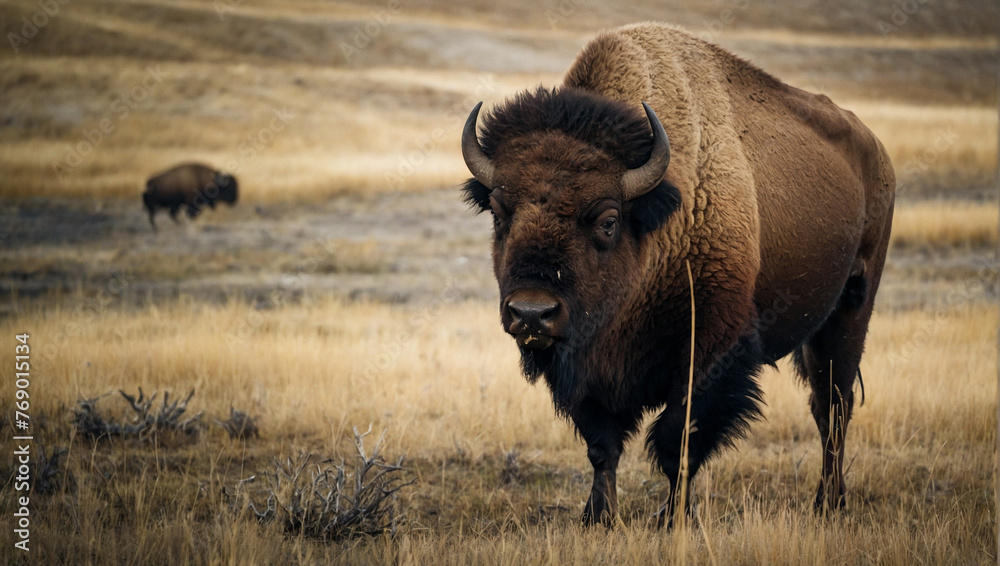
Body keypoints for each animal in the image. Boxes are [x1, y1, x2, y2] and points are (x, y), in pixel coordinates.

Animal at [462, 22, 900, 528]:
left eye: (608, 220)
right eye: (498, 212)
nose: (532, 313)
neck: (659, 216)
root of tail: (877, 152)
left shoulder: (708, 353)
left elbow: (678, 442)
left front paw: (672, 519)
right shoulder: (587, 370)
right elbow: (602, 445)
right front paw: (599, 517)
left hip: (852, 306)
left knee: (834, 407)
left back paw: (828, 504)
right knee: (824, 405)